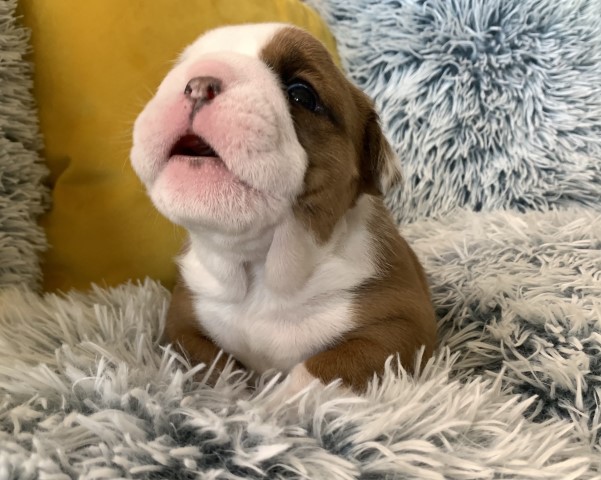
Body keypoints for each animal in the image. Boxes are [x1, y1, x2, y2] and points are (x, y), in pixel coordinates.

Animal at [130, 21, 436, 394]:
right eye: (181, 65)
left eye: (301, 94)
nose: (199, 82)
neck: (262, 270)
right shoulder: (182, 320)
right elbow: (212, 366)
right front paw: (231, 391)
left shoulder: (402, 328)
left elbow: (324, 368)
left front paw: (276, 402)